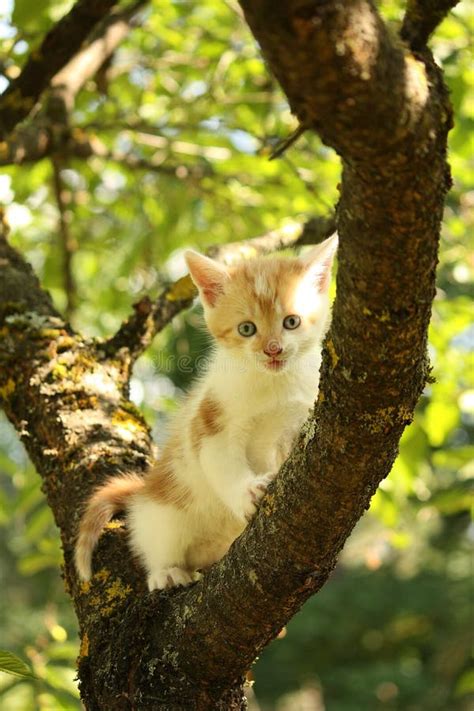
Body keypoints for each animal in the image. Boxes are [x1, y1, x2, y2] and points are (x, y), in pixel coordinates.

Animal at [75, 236, 336, 592]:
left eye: (291, 322)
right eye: (246, 329)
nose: (273, 349)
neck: (273, 383)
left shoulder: (297, 417)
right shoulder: (210, 420)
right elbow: (220, 462)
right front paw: (247, 493)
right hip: (161, 512)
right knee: (155, 540)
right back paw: (166, 572)